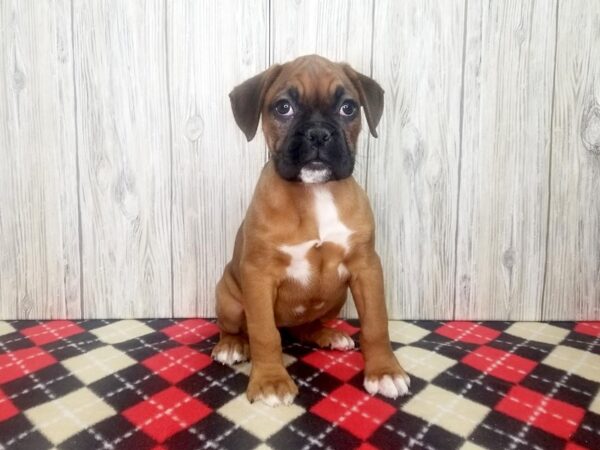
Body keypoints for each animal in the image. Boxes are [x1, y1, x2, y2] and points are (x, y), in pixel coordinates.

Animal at [213, 54, 410, 406]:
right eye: (283, 107)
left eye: (348, 108)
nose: (318, 133)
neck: (315, 193)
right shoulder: (258, 276)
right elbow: (264, 333)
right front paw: (270, 381)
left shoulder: (366, 269)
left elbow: (376, 324)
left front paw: (385, 371)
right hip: (229, 299)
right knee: (238, 328)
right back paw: (232, 345)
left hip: (336, 297)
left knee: (307, 325)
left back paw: (328, 334)